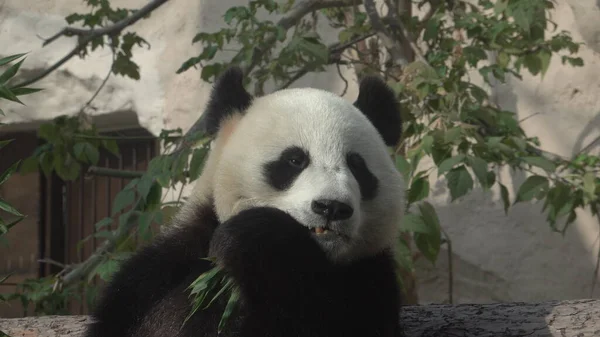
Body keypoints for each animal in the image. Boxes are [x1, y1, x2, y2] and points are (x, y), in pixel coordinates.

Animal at [85, 66, 408, 336]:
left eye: (357, 166)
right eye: (294, 160)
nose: (332, 207)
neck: (318, 257)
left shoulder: (368, 278)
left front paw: (257, 237)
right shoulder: (165, 267)